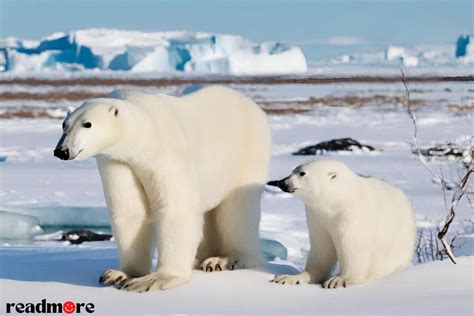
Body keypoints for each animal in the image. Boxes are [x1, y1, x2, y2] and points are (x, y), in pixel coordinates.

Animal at [54, 86, 270, 292]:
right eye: (64, 125)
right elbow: (129, 210)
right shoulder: (116, 161)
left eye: (88, 124)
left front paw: (154, 279)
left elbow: (175, 208)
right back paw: (201, 258)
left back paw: (226, 259)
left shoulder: (166, 152)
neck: (143, 130)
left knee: (236, 210)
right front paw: (119, 274)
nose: (61, 151)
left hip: (247, 153)